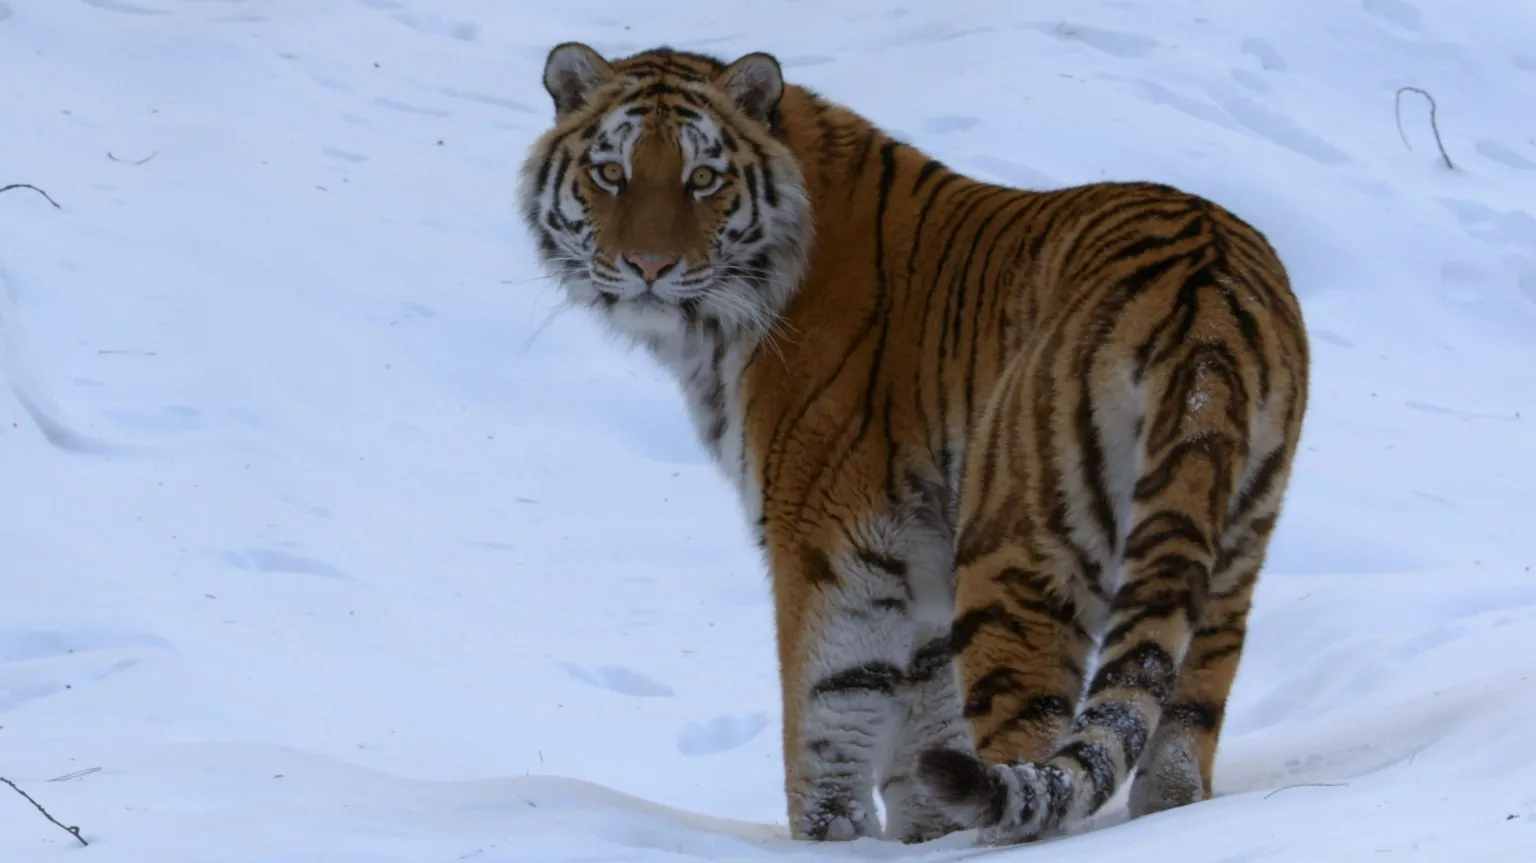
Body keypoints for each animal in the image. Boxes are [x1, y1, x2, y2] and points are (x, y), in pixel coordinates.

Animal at [516, 42, 1309, 847]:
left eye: (702, 178)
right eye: (610, 173)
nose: (649, 268)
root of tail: (1205, 299)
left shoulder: (826, 536)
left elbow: (828, 704)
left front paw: (832, 835)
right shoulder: (917, 562)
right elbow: (926, 710)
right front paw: (923, 833)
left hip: (1011, 549)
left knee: (1032, 749)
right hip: (1229, 548)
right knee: (1180, 727)